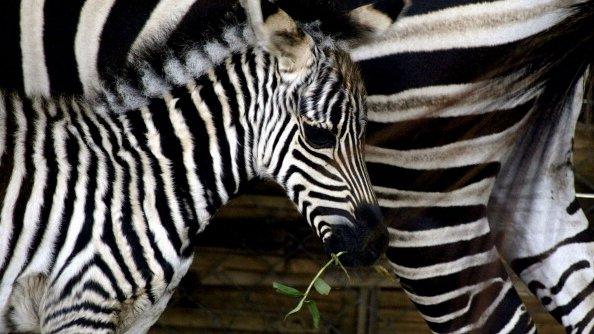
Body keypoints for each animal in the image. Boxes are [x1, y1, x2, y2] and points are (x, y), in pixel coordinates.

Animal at [0, 1, 388, 332]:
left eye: (365, 133)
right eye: (318, 136)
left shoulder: (140, 316)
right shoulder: (79, 304)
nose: (377, 244)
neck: (147, 179)